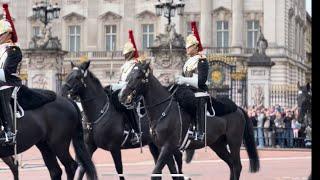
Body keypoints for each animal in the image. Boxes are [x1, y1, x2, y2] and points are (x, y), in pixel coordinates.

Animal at [118, 62, 260, 180]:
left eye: (138, 77)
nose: (122, 96)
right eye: (129, 75)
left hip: (234, 141)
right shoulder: (162, 146)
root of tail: (238, 108)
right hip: (217, 144)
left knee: (237, 166)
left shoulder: (168, 145)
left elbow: (157, 172)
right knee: (231, 164)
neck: (163, 110)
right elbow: (173, 173)